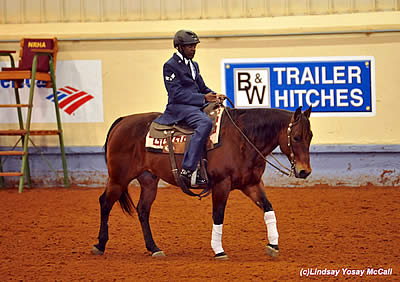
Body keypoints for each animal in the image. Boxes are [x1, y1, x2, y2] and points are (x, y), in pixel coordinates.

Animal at [92, 104, 314, 258]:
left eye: (310, 136)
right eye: (296, 137)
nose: (304, 171)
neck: (242, 140)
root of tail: (122, 121)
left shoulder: (251, 184)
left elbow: (268, 208)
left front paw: (273, 245)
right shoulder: (221, 184)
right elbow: (218, 215)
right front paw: (219, 250)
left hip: (148, 180)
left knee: (143, 210)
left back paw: (154, 248)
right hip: (119, 178)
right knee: (105, 202)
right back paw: (100, 245)